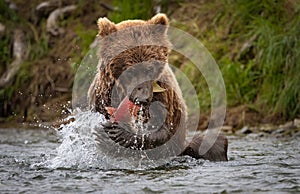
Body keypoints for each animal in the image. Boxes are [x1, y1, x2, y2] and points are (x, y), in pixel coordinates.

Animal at [88, 13, 229, 161]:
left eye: (150, 68)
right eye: (130, 70)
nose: (142, 98)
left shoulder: (163, 95)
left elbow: (164, 129)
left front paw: (118, 134)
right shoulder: (103, 94)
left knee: (213, 142)